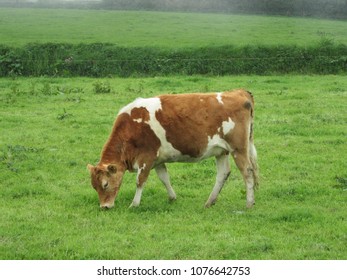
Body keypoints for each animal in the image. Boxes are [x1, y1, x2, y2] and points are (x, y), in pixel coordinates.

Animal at [88, 88, 260, 209]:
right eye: (94, 186)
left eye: (105, 184)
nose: (104, 207)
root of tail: (239, 92)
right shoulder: (157, 160)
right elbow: (164, 178)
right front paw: (172, 197)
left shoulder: (146, 157)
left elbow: (140, 180)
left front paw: (134, 204)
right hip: (222, 150)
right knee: (223, 173)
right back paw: (210, 202)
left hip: (238, 148)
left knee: (247, 171)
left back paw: (249, 203)